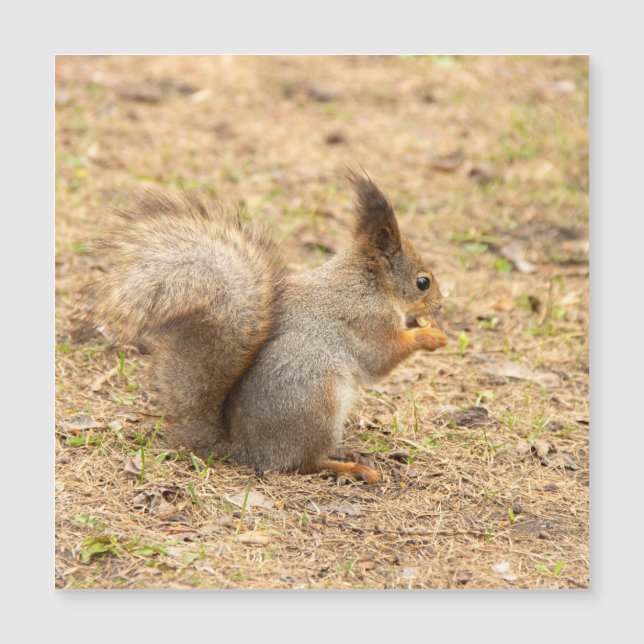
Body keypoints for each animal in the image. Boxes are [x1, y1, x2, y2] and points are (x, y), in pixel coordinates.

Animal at [82, 170, 447, 484]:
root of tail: (246, 449)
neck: (368, 283)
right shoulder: (368, 321)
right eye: (423, 282)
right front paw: (430, 335)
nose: (441, 305)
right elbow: (382, 359)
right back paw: (350, 467)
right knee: (304, 463)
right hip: (318, 403)